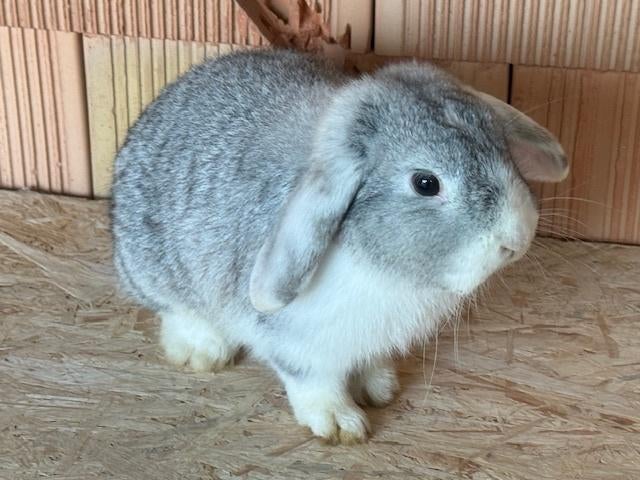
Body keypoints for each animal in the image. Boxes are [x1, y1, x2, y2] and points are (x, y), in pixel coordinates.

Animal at [111, 49, 568, 444]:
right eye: (426, 183)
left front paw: (379, 386)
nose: (517, 238)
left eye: (500, 146)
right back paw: (202, 352)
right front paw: (339, 423)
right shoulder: (299, 345)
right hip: (154, 272)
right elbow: (313, 383)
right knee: (177, 312)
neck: (381, 265)